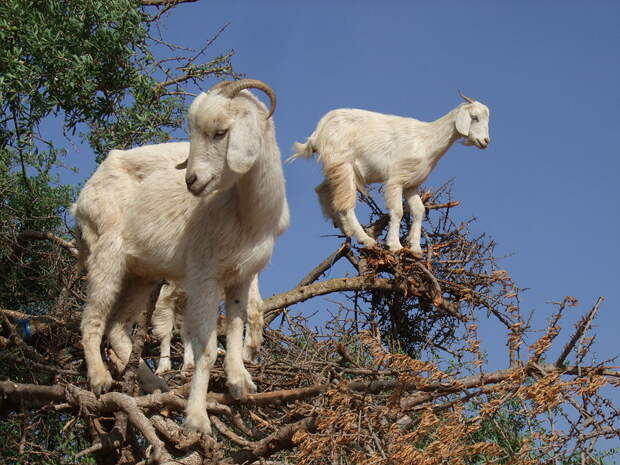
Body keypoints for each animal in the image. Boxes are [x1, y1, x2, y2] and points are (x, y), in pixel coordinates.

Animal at [72, 80, 288, 436]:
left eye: (220, 132)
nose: (192, 181)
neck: (244, 213)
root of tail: (82, 198)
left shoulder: (240, 277)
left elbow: (235, 327)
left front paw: (239, 382)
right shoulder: (203, 276)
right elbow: (206, 347)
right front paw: (197, 419)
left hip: (140, 273)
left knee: (117, 327)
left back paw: (154, 384)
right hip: (106, 252)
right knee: (92, 318)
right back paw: (101, 379)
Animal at [290, 92, 490, 256]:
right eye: (474, 117)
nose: (486, 141)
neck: (427, 140)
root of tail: (318, 132)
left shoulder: (411, 184)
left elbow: (419, 210)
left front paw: (415, 248)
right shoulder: (396, 180)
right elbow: (398, 211)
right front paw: (395, 245)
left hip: (336, 168)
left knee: (321, 189)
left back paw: (343, 228)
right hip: (343, 164)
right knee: (346, 204)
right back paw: (366, 239)